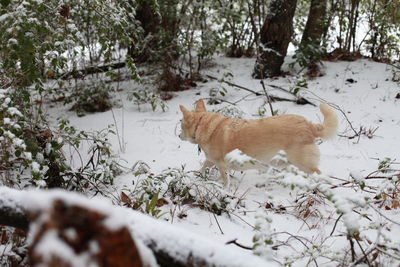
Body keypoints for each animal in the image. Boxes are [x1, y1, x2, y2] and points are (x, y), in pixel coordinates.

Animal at [178, 100, 338, 186]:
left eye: (180, 125)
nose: (179, 135)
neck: (204, 125)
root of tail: (308, 125)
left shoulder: (222, 165)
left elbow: (225, 181)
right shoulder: (211, 161)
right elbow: (202, 167)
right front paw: (193, 178)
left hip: (302, 163)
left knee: (319, 174)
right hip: (288, 163)